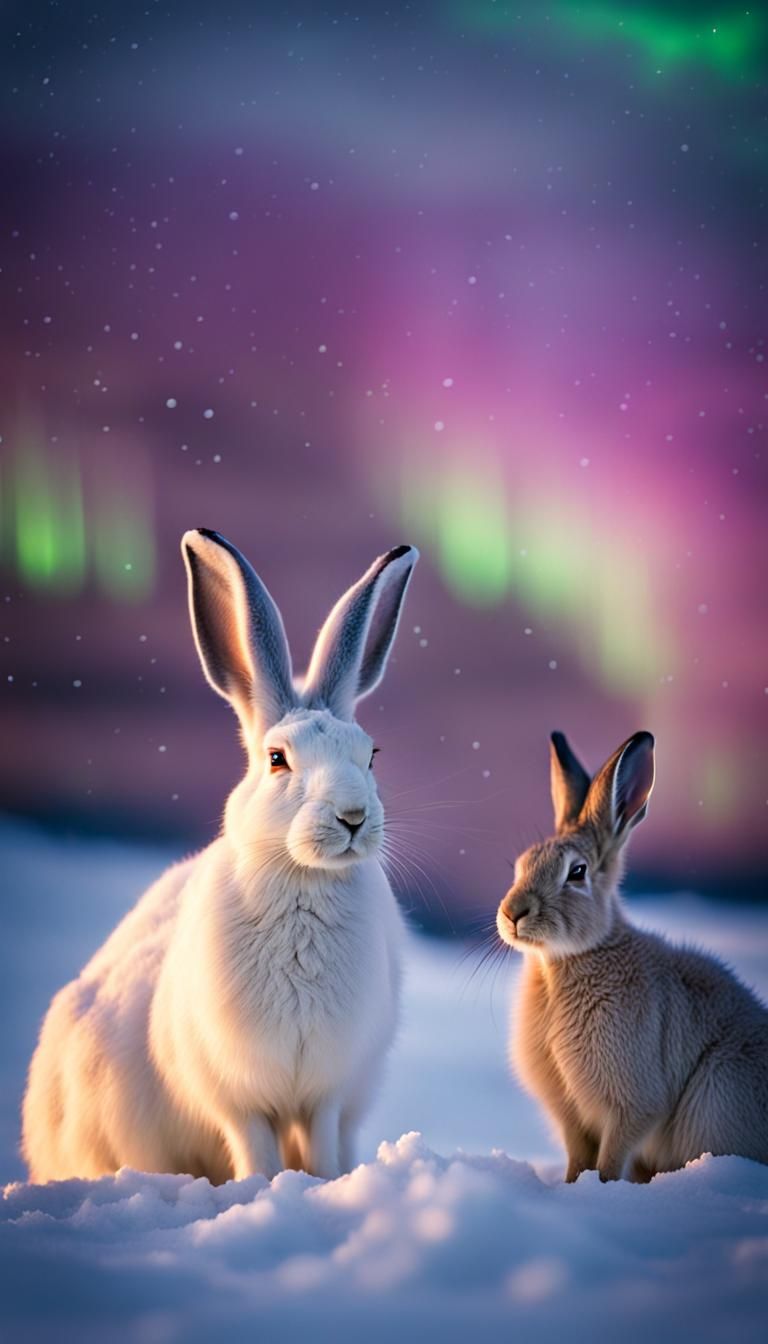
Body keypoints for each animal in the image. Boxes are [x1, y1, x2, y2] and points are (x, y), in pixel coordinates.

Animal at [22, 528, 418, 1185]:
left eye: (372, 755)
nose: (353, 817)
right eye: (277, 759)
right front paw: (265, 1190)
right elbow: (254, 1148)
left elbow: (322, 1145)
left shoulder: (325, 1095)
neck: (302, 883)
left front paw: (323, 1185)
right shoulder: (239, 1098)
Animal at [496, 730, 768, 1183]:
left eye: (577, 872)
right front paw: (571, 1188)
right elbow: (579, 1157)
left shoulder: (634, 1105)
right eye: (521, 865)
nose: (512, 913)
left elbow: (611, 1157)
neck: (569, 960)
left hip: (718, 1093)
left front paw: (601, 1190)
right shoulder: (572, 1116)